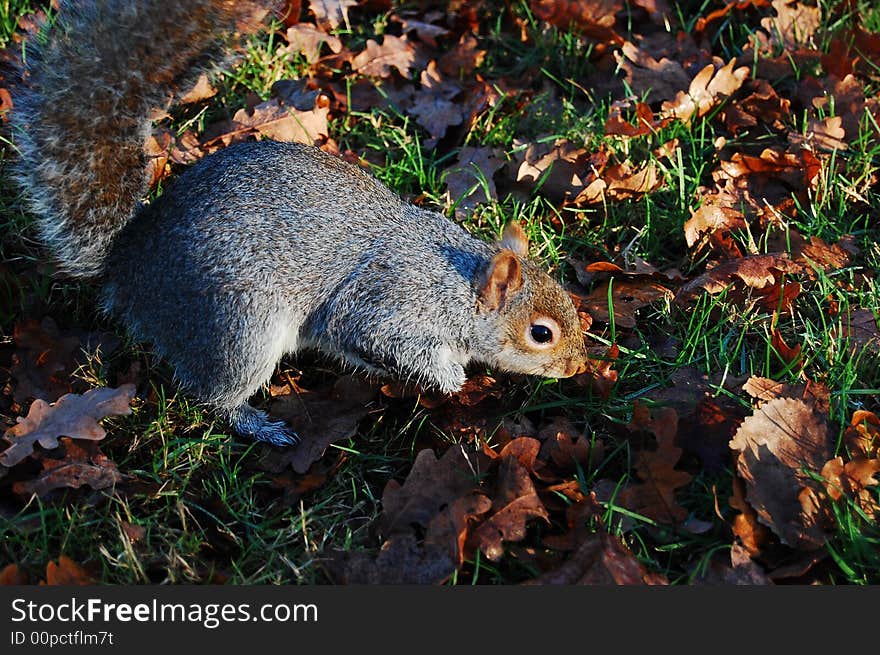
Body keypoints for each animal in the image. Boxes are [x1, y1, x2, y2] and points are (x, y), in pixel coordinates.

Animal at [10, 0, 588, 446]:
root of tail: (131, 265)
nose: (578, 368)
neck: (459, 284)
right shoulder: (392, 302)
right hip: (239, 326)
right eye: (541, 333)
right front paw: (450, 376)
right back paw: (257, 424)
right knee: (213, 394)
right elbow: (377, 335)